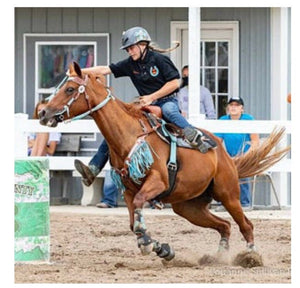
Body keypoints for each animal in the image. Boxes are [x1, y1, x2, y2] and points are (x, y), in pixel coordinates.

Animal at [38, 62, 290, 264]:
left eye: (70, 89)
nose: (43, 113)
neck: (129, 135)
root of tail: (223, 153)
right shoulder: (128, 192)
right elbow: (133, 223)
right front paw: (161, 249)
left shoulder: (156, 183)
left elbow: (140, 213)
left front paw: (149, 243)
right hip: (189, 207)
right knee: (224, 225)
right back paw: (218, 256)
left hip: (228, 194)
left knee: (245, 225)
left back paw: (250, 256)